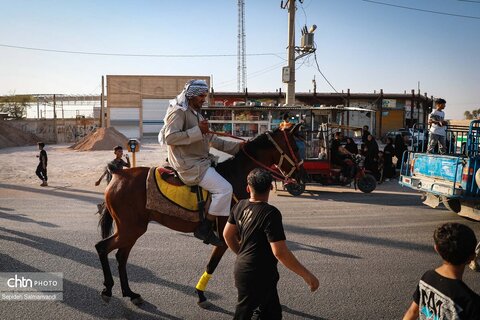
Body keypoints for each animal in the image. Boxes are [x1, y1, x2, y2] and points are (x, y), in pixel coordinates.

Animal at [95, 124, 302, 306]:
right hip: (131, 229)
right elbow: (214, 264)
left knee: (121, 256)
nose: (301, 177)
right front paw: (202, 295)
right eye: (295, 148)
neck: (235, 177)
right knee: (102, 247)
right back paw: (108, 289)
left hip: (131, 229)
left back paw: (130, 293)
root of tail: (118, 175)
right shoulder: (225, 237)